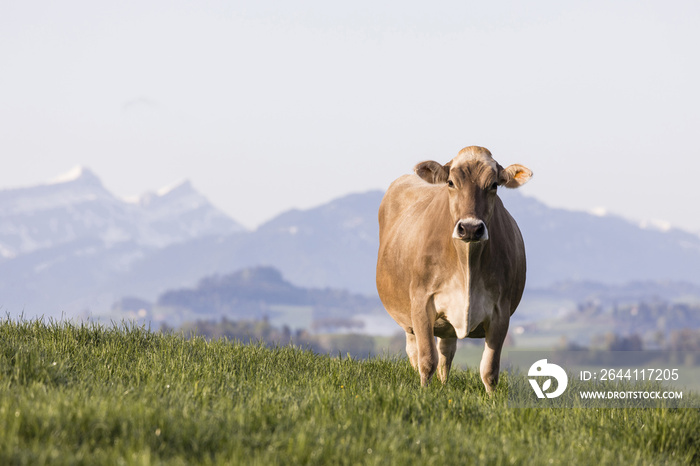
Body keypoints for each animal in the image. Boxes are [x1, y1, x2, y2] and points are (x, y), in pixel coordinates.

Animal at [378, 147, 532, 394]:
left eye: (494, 185)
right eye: (450, 182)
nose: (470, 228)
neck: (466, 263)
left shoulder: (501, 310)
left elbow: (489, 370)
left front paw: (492, 400)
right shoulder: (421, 302)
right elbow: (426, 359)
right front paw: (424, 393)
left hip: (447, 324)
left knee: (446, 352)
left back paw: (443, 384)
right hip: (408, 316)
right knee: (415, 351)